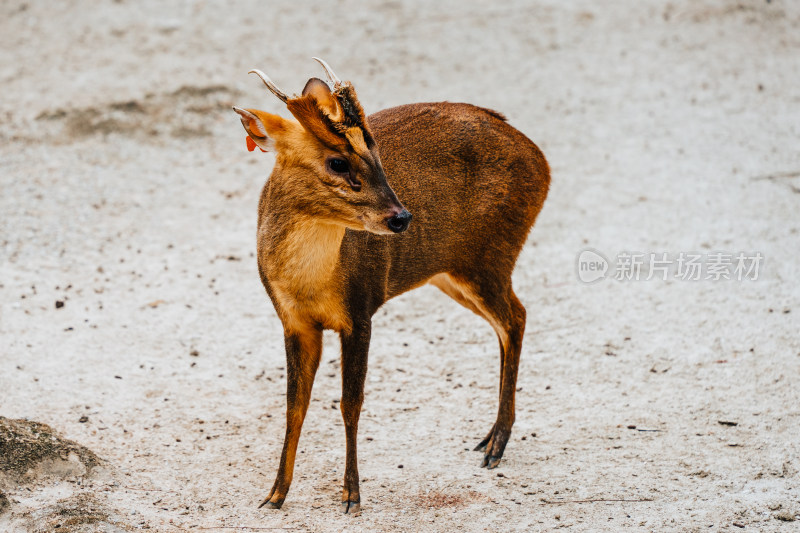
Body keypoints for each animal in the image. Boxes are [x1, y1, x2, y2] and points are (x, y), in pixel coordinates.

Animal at [233, 58, 552, 512]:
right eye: (337, 162)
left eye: (376, 153)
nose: (401, 217)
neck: (310, 283)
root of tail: (540, 159)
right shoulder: (293, 321)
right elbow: (295, 405)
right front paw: (275, 494)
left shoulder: (360, 307)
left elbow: (350, 404)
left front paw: (351, 494)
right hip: (449, 273)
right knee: (512, 319)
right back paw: (490, 440)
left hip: (490, 254)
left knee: (515, 317)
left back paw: (496, 445)